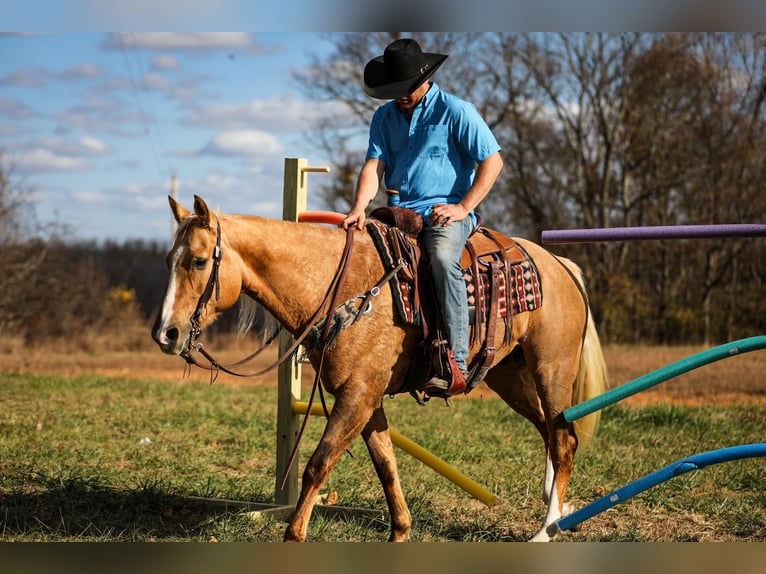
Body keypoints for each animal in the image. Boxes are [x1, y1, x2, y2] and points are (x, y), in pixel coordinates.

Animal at [153, 196, 608, 544]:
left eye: (198, 262)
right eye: (168, 260)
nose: (166, 333)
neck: (340, 288)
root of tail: (559, 264)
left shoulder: (356, 397)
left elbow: (319, 464)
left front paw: (294, 536)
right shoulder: (366, 399)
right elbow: (386, 466)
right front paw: (400, 532)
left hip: (551, 369)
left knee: (563, 439)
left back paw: (546, 531)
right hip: (508, 376)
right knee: (550, 431)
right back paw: (556, 510)